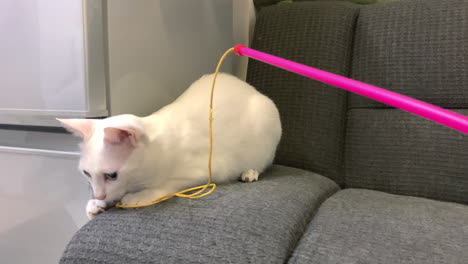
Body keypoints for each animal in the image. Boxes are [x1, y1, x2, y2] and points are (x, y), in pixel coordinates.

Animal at [58, 72, 282, 219]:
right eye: (86, 173)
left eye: (112, 175)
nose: (99, 194)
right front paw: (97, 204)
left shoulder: (209, 169)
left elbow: (166, 184)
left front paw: (138, 196)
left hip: (265, 118)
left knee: (261, 163)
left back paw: (250, 172)